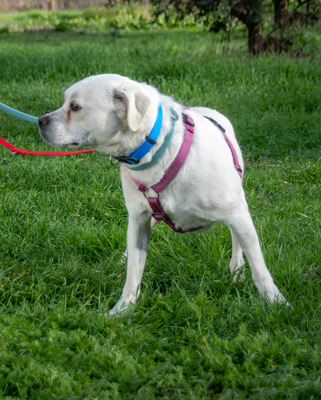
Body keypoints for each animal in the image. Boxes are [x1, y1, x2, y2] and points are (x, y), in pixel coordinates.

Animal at [37, 73, 284, 314]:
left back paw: (237, 268)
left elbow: (259, 267)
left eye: (75, 107)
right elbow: (133, 273)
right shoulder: (139, 220)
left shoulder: (237, 215)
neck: (161, 151)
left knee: (236, 241)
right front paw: (123, 308)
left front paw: (275, 302)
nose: (40, 120)